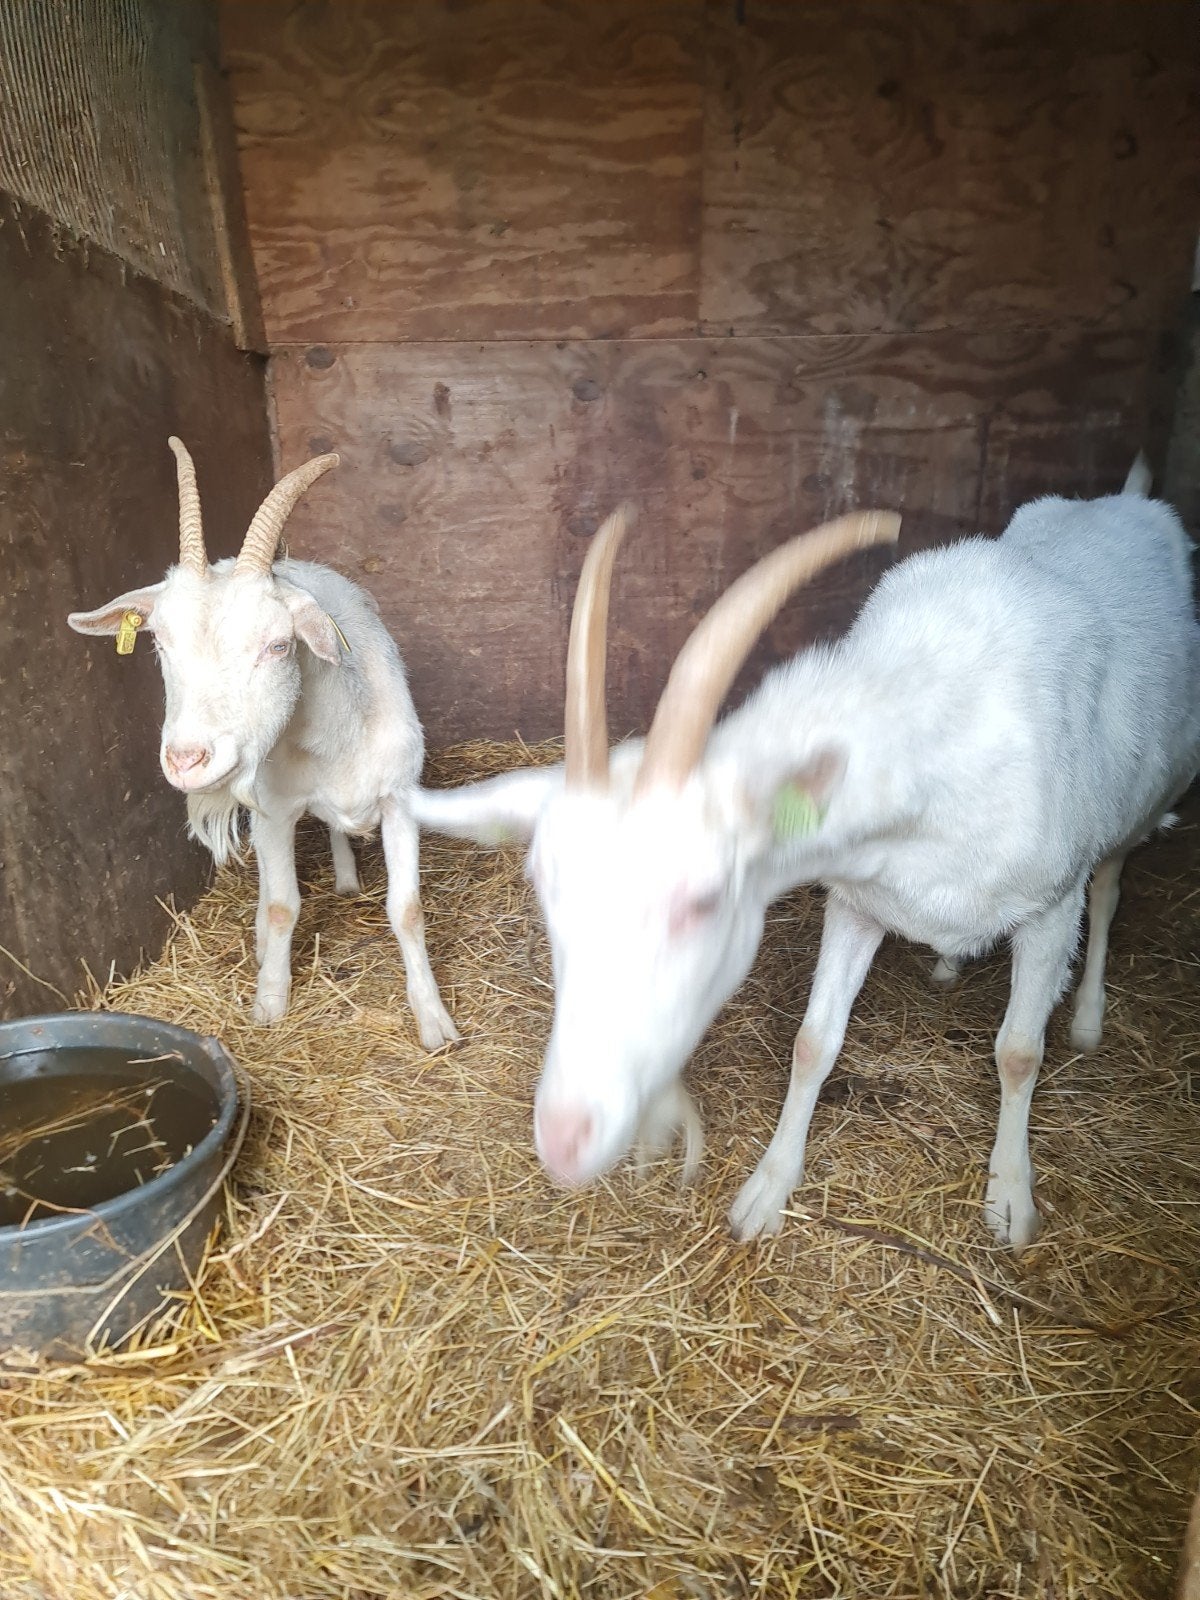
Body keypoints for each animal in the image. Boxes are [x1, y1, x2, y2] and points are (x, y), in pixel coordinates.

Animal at [68, 438, 458, 1050]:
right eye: (159, 643)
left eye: (278, 645)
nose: (186, 759)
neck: (336, 738)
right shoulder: (273, 810)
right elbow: (280, 905)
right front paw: (270, 1002)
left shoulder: (401, 800)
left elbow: (408, 909)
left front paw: (434, 1021)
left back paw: (346, 878)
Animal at [411, 459, 1199, 1248]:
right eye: (547, 895)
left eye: (701, 900)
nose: (564, 1139)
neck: (943, 733)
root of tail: (1124, 500)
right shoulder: (858, 898)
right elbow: (814, 1042)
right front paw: (768, 1188)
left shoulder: (1047, 909)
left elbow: (1018, 1051)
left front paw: (1009, 1198)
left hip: (1138, 811)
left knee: (1109, 887)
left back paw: (1089, 1016)